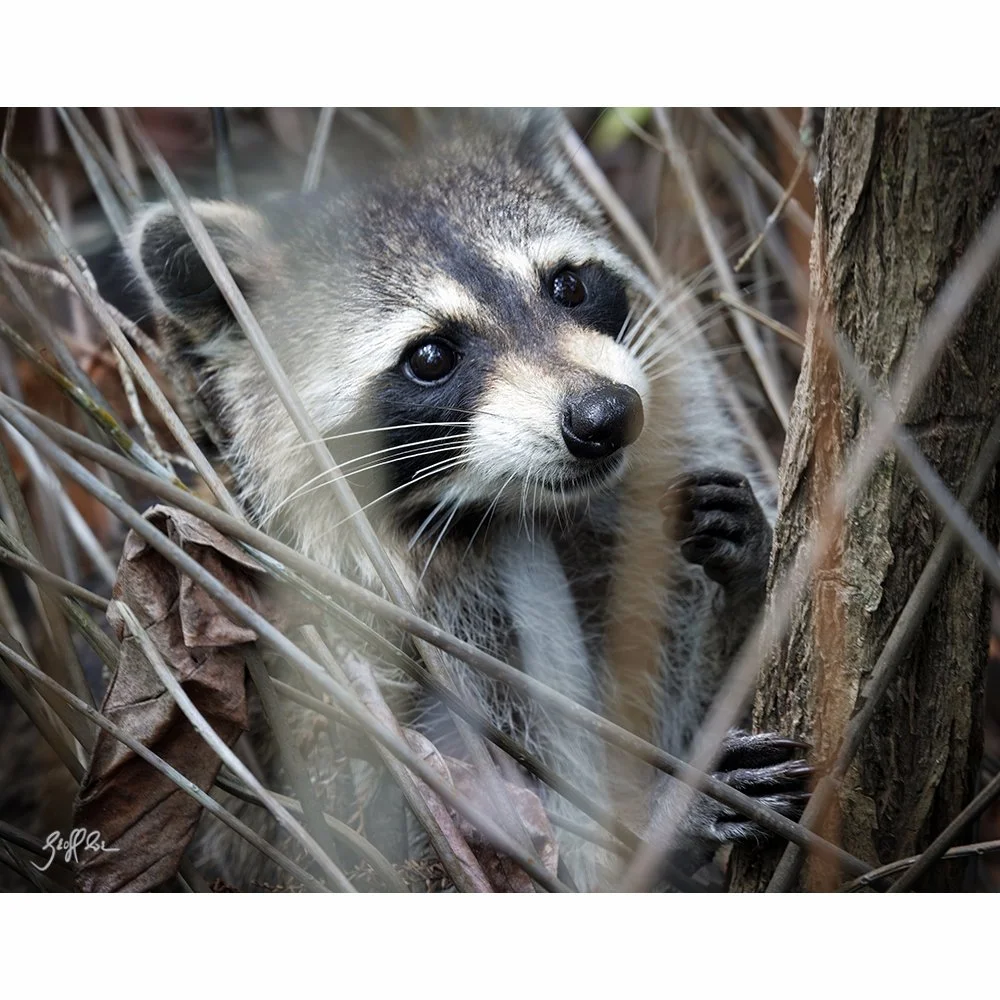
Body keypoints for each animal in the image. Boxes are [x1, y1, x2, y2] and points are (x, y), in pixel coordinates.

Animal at [124, 110, 806, 891]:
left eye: (568, 286)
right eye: (430, 357)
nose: (605, 416)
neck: (529, 514)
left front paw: (746, 595)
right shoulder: (344, 694)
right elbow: (452, 842)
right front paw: (653, 812)